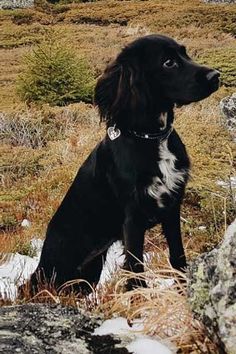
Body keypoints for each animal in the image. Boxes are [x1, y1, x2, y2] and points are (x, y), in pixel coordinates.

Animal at [29, 34, 219, 294]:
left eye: (185, 53)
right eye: (168, 62)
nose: (216, 75)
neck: (152, 138)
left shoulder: (172, 207)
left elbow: (177, 257)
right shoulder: (133, 217)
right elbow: (136, 269)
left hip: (89, 272)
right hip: (58, 265)